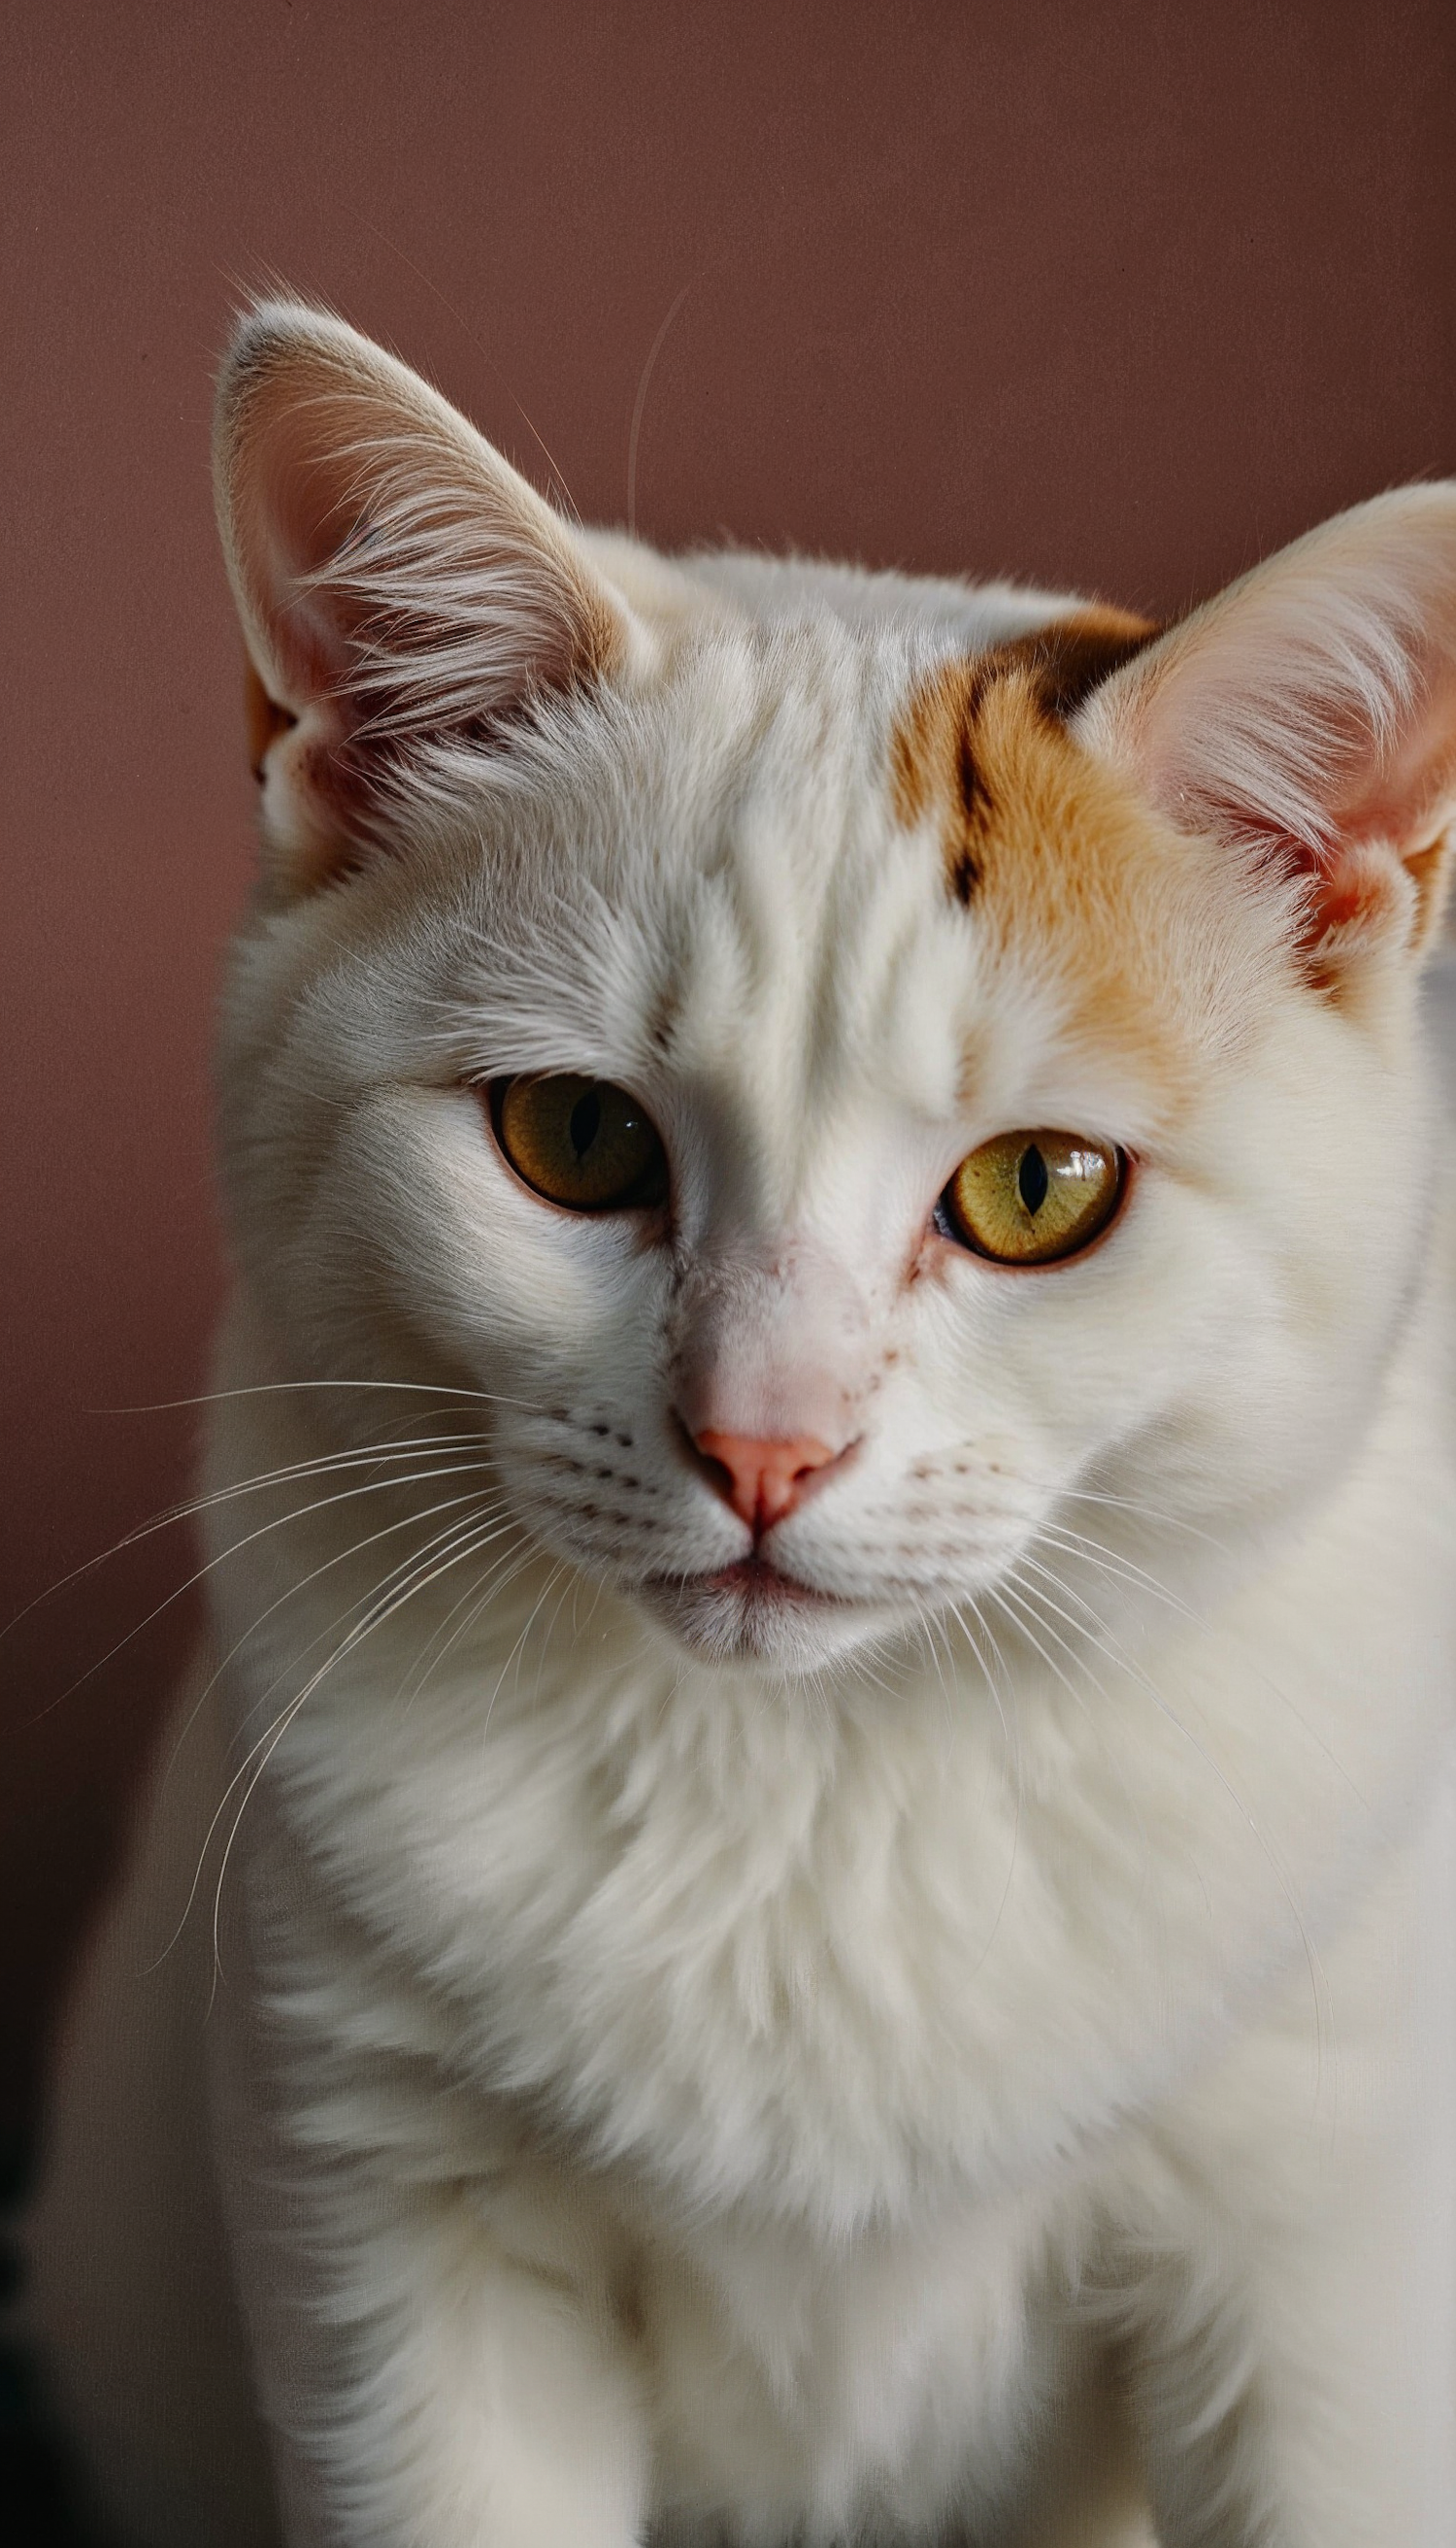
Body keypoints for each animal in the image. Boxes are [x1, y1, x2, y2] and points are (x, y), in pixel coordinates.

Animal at [19, 303, 1456, 2548]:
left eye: (1037, 1188)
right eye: (578, 1138)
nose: (762, 1445)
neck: (820, 1792)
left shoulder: (1325, 2236)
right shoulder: (397, 2228)